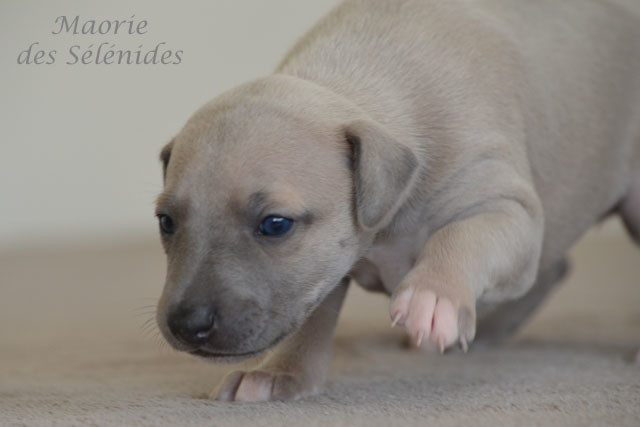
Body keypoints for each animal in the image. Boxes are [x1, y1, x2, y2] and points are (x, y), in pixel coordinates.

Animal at [155, 0, 640, 402]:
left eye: (276, 224)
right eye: (165, 222)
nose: (186, 324)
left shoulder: (505, 206)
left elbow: (462, 236)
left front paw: (435, 294)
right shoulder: (325, 268)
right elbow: (309, 318)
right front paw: (278, 374)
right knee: (553, 269)